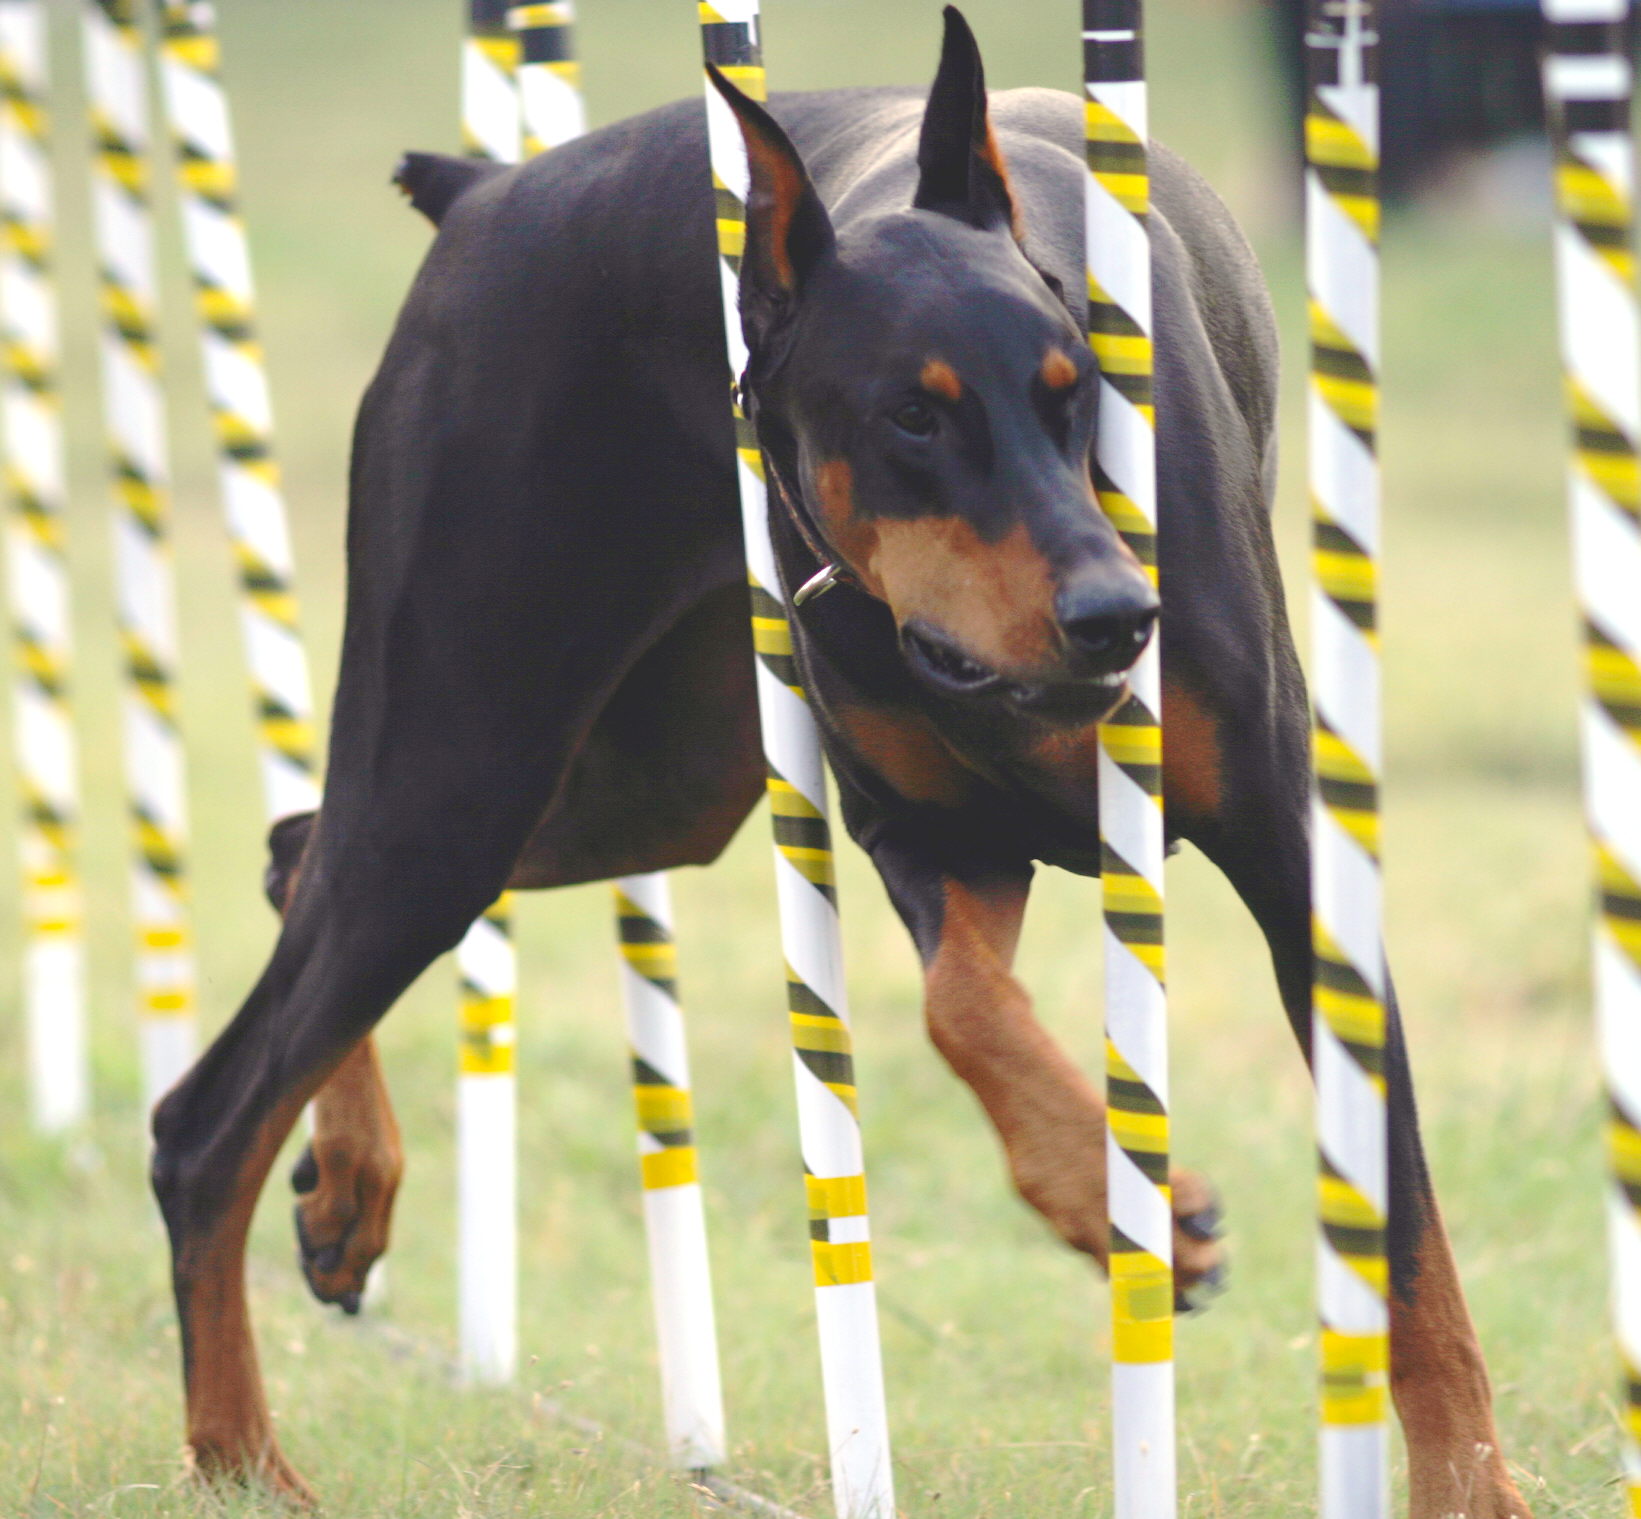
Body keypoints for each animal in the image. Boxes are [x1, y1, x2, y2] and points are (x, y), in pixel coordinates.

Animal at [147, 8, 1529, 1509]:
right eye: (913, 417)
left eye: (1074, 392)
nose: (1119, 614)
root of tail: (484, 195)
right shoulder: (925, 833)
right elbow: (959, 1010)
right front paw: (1132, 1205)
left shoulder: (1284, 860)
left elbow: (1406, 1242)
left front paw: (1468, 1480)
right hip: (465, 760)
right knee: (203, 1121)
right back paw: (242, 1454)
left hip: (637, 784)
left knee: (297, 853)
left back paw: (343, 1194)